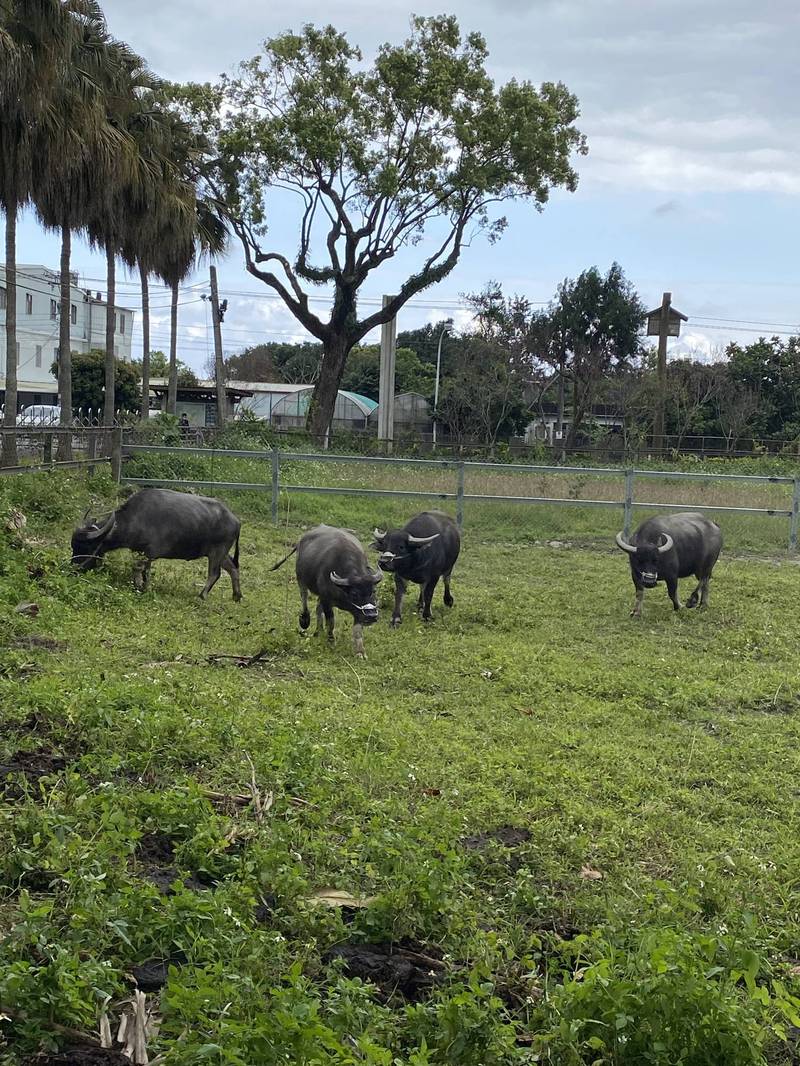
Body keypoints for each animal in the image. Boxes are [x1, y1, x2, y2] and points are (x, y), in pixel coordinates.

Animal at [72, 488, 241, 605]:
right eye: (73, 546)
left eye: (85, 547)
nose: (73, 569)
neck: (136, 517)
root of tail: (236, 521)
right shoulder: (141, 552)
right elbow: (144, 571)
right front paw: (143, 586)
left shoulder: (149, 552)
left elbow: (139, 569)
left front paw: (141, 587)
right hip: (220, 553)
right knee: (233, 568)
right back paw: (236, 596)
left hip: (217, 552)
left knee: (215, 573)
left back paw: (202, 595)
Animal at [273, 524, 386, 656]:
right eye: (354, 593)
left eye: (373, 591)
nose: (371, 615)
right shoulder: (327, 600)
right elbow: (331, 621)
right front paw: (331, 641)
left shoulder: (358, 612)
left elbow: (357, 629)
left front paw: (360, 652)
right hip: (301, 578)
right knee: (304, 597)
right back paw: (305, 620)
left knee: (317, 608)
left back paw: (318, 631)